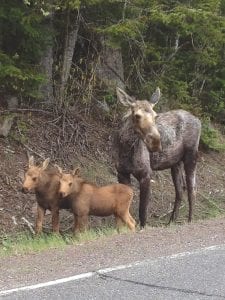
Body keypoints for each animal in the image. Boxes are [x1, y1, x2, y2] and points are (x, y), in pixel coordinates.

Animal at [115, 86, 201, 227]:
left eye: (155, 116)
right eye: (137, 115)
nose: (155, 142)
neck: (125, 149)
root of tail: (198, 120)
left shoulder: (146, 174)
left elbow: (143, 211)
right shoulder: (122, 173)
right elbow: (125, 207)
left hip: (191, 155)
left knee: (192, 188)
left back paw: (189, 220)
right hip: (175, 163)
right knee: (180, 189)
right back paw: (171, 222)